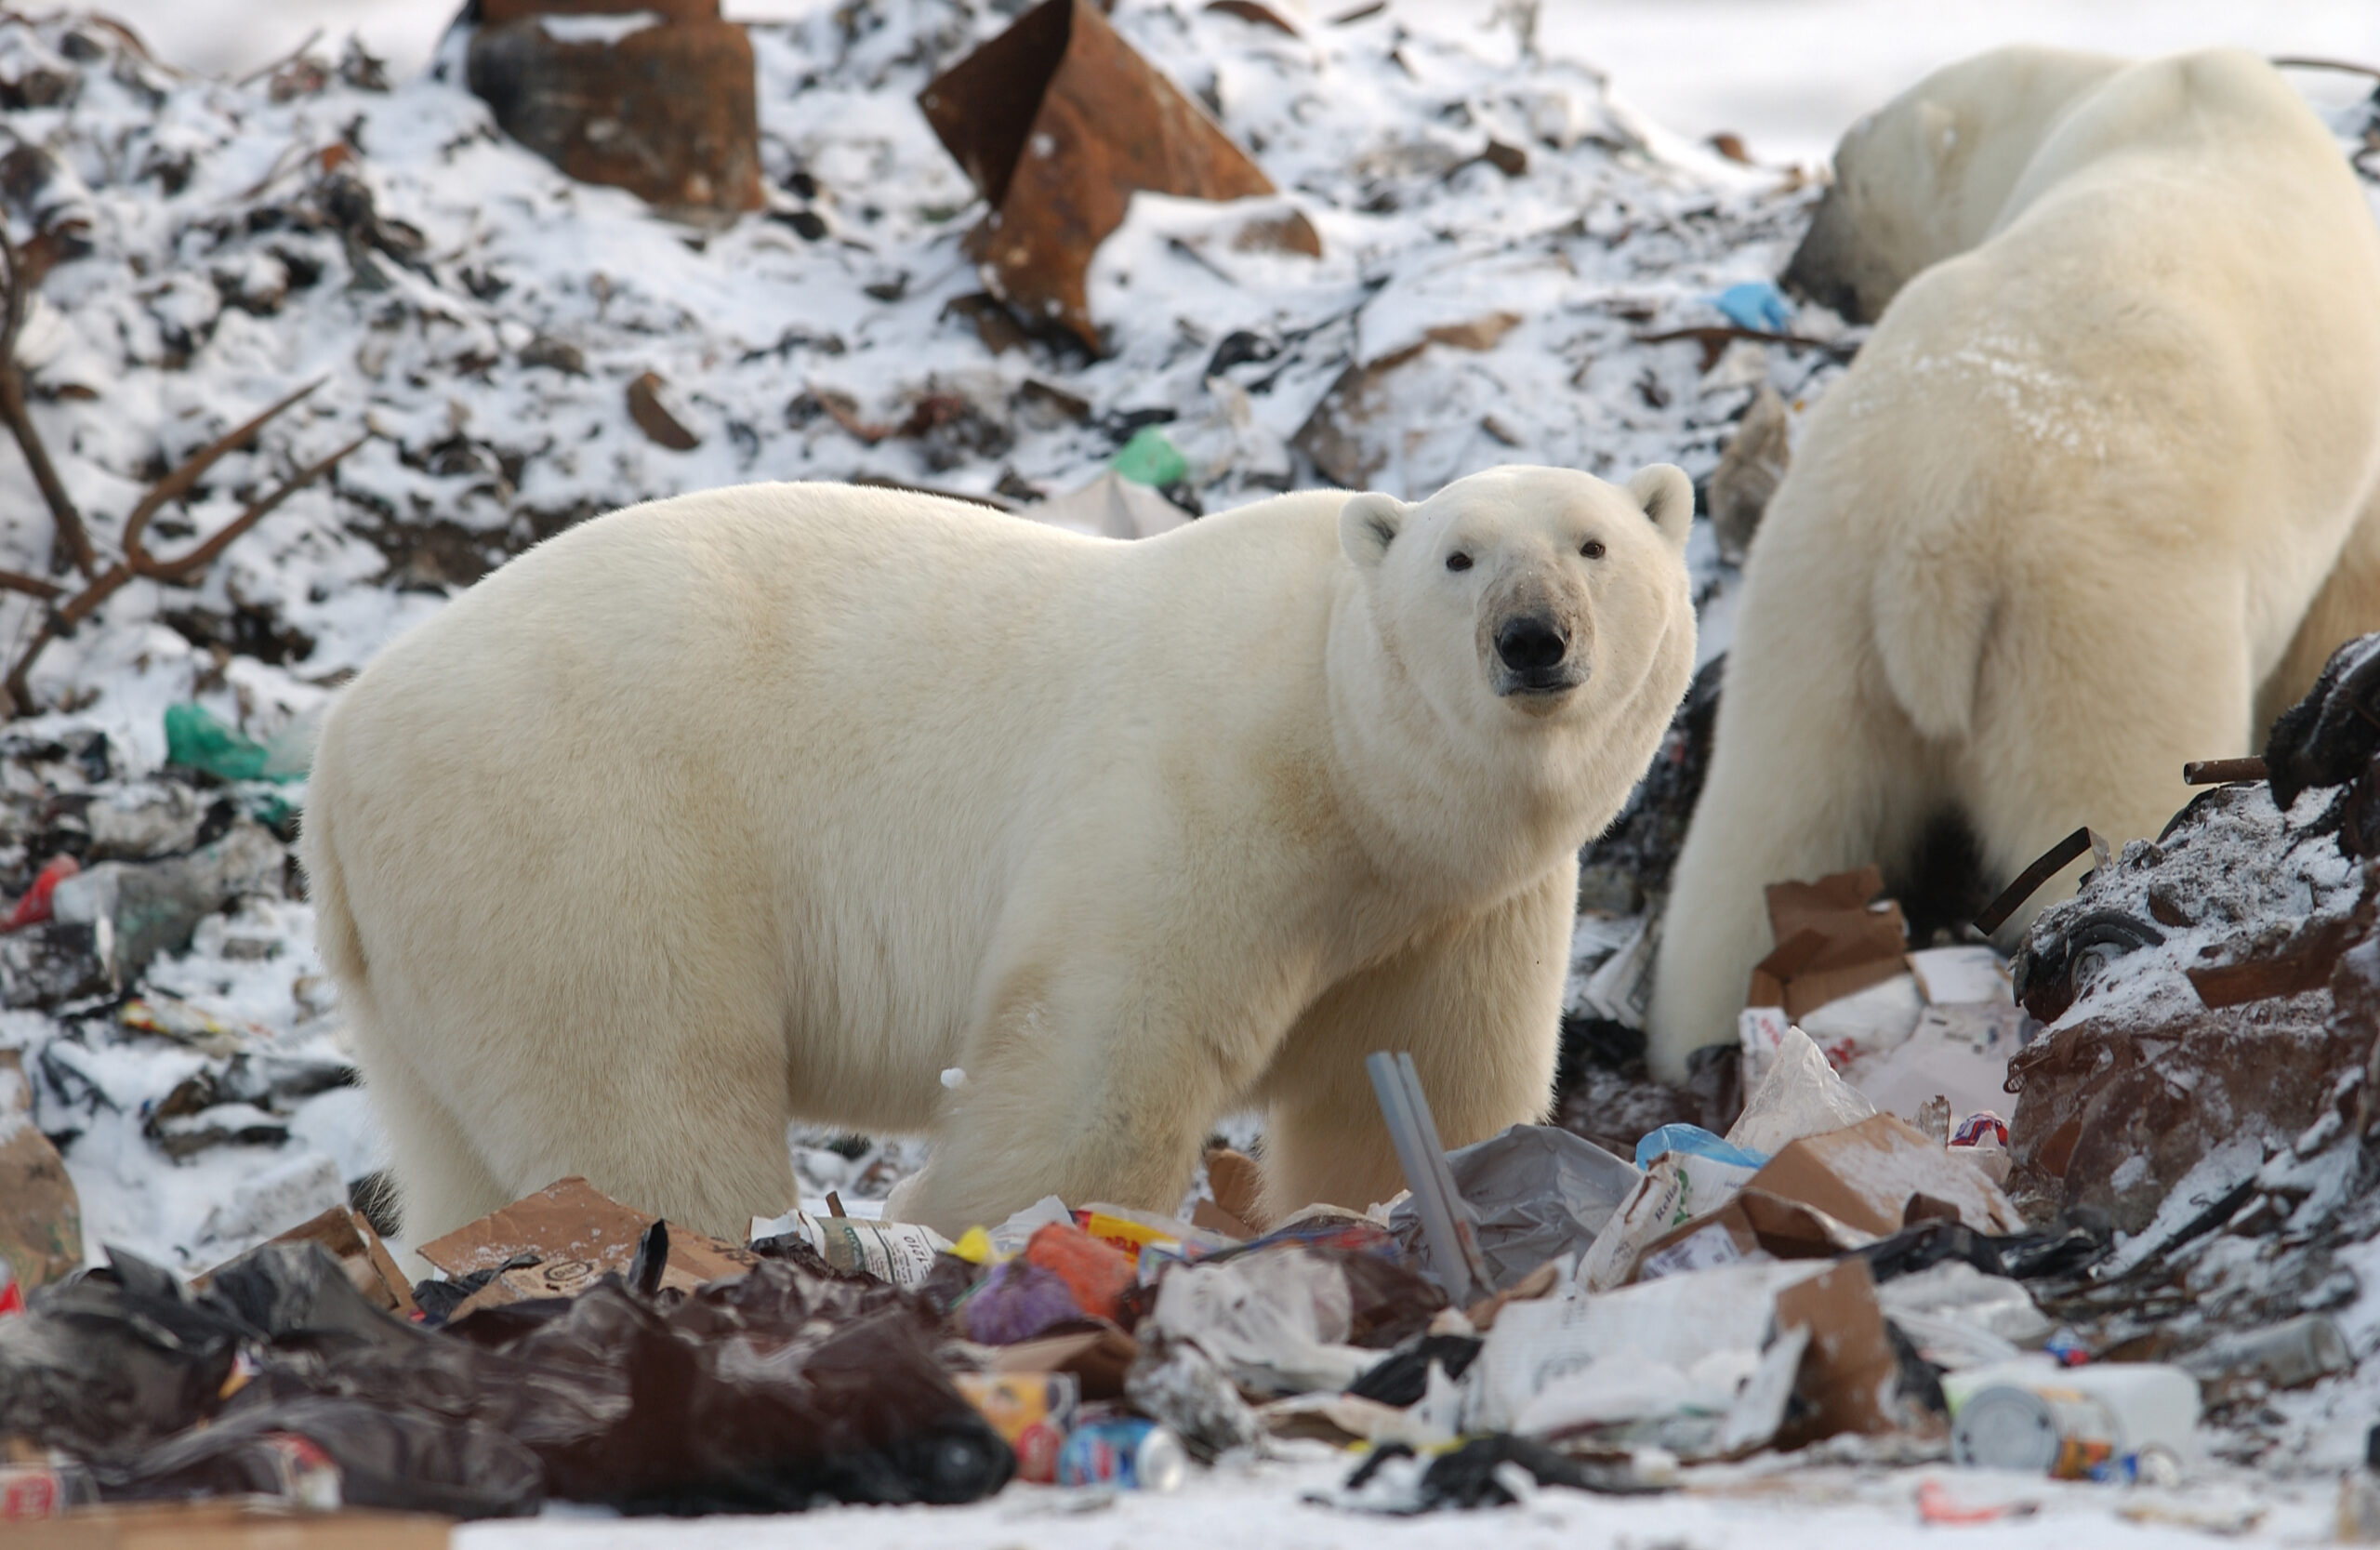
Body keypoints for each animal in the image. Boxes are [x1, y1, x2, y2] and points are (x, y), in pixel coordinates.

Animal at [307, 466, 1703, 1247]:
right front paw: (980, 1227)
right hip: (581, 836)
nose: (1531, 638)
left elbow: (1417, 1085)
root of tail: (338, 749)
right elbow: (1100, 1054)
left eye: (1593, 544)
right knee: (650, 1084)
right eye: (1458, 556)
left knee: (455, 1140)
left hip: (435, 926)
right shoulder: (1200, 782)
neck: (1341, 743)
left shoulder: (1448, 903)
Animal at [1646, 39, 2380, 1080]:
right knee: (2097, 793)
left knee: (1761, 845)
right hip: (2088, 626)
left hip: (1818, 606)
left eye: (1838, 175)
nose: (1800, 272)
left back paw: (1711, 1041)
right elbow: (2343, 584)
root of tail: (1934, 548)